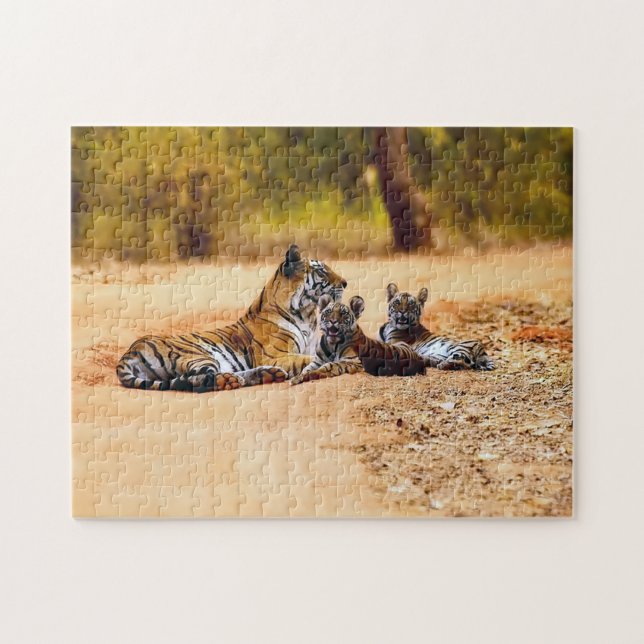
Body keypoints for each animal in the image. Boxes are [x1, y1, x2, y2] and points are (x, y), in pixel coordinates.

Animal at [116, 245, 348, 392]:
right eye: (322, 271)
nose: (345, 283)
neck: (307, 314)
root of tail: (130, 351)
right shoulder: (276, 355)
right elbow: (310, 359)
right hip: (199, 355)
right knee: (195, 380)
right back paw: (231, 380)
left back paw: (267, 375)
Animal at [290, 294, 426, 384]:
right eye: (328, 311)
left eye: (343, 313)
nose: (333, 321)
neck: (332, 344)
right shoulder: (317, 361)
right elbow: (307, 368)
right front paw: (300, 376)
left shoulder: (353, 361)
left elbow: (329, 365)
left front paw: (305, 376)